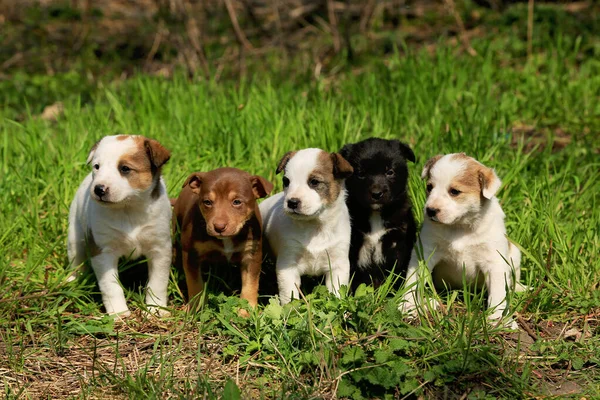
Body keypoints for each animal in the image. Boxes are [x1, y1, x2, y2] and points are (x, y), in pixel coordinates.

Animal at [67, 136, 172, 318]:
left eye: (125, 169)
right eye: (97, 166)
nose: (98, 189)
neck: (128, 209)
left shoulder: (160, 248)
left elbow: (158, 282)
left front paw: (156, 309)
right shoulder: (103, 251)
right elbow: (111, 286)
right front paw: (118, 312)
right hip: (75, 236)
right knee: (76, 261)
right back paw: (73, 281)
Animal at [172, 167, 274, 314]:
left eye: (237, 202)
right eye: (207, 202)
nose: (219, 227)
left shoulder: (251, 254)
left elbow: (250, 284)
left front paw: (246, 311)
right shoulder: (191, 254)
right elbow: (195, 284)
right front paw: (195, 309)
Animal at [260, 148, 354, 304]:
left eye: (314, 182)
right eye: (286, 181)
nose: (292, 202)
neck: (314, 226)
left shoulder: (338, 264)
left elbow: (337, 291)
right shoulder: (288, 264)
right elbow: (289, 295)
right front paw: (291, 308)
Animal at [400, 153, 524, 328]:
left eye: (455, 191)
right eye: (429, 187)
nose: (430, 210)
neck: (459, 227)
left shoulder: (495, 261)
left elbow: (498, 292)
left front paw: (497, 318)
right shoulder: (424, 253)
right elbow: (414, 281)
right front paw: (409, 305)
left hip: (515, 254)